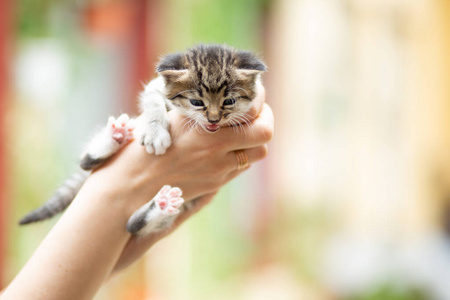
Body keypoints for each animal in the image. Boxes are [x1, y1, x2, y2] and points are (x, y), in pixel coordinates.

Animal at [20, 44, 268, 236]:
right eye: (197, 102)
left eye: (230, 101)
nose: (214, 119)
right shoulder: (155, 86)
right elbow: (152, 98)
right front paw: (156, 132)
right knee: (86, 162)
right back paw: (115, 136)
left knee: (132, 226)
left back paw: (161, 205)